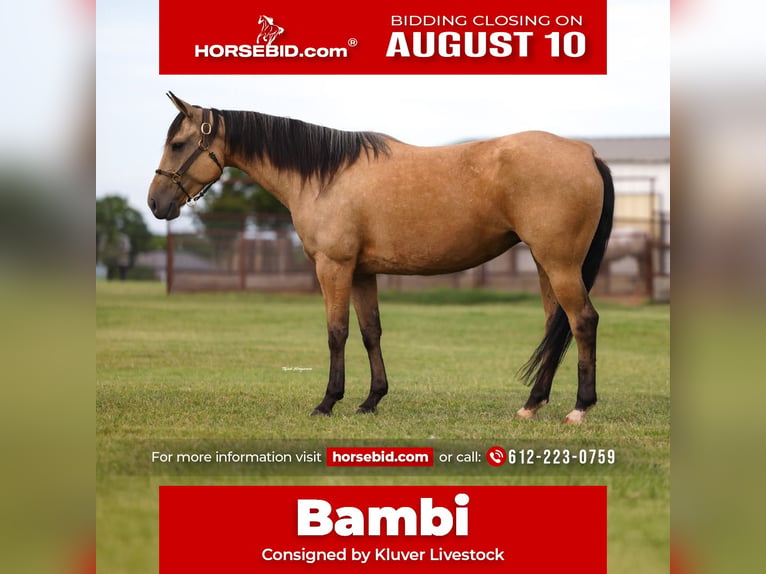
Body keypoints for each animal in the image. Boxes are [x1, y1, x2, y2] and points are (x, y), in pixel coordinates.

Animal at [148, 92, 614, 423]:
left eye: (179, 143)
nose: (155, 203)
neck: (325, 175)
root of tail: (586, 152)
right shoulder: (361, 273)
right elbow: (371, 331)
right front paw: (371, 399)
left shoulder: (333, 267)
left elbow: (336, 333)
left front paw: (328, 402)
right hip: (545, 264)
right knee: (556, 326)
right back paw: (532, 404)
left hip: (560, 264)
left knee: (583, 321)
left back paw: (579, 408)